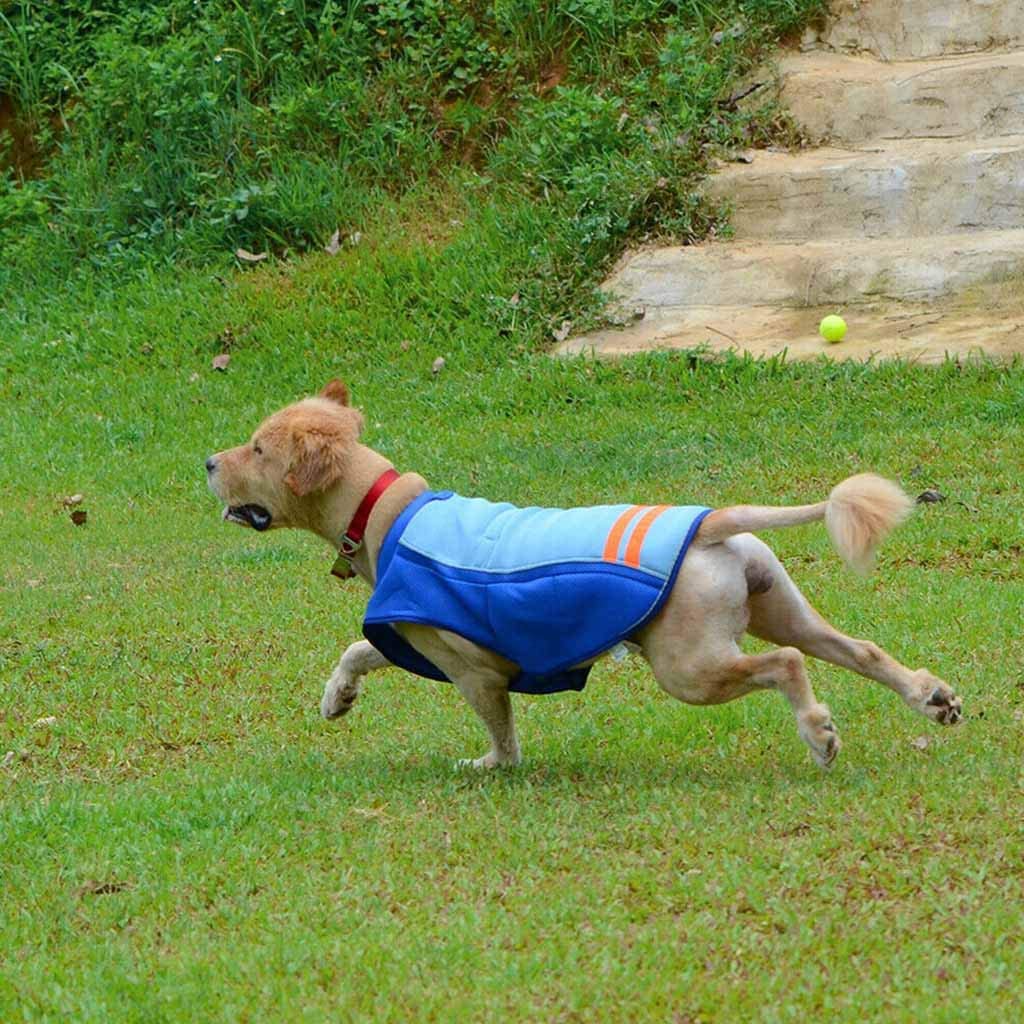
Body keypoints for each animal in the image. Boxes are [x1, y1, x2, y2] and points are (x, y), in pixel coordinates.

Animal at [205, 382, 958, 770]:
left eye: (258, 449)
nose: (208, 462)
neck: (384, 509)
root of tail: (709, 525)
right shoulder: (423, 639)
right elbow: (359, 649)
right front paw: (338, 697)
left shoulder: (473, 668)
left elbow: (501, 734)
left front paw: (490, 766)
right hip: (781, 607)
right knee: (859, 649)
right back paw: (931, 697)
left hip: (687, 666)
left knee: (787, 665)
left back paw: (819, 733)